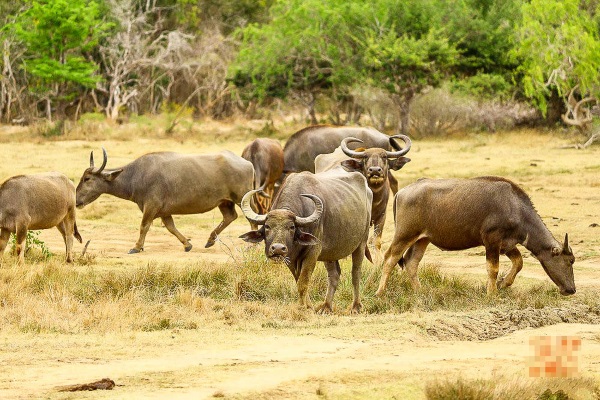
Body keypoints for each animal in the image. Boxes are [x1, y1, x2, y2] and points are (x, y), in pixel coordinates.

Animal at [75, 148, 253, 255]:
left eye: (87, 178)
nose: (76, 200)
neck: (135, 176)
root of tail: (247, 163)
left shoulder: (151, 206)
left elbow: (144, 226)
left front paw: (136, 247)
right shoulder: (164, 212)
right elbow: (171, 227)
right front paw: (187, 244)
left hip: (242, 198)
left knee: (252, 218)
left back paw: (252, 244)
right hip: (225, 202)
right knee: (230, 217)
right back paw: (210, 240)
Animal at [240, 167, 372, 314]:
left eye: (291, 227)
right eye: (267, 226)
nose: (278, 249)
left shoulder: (312, 253)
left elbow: (303, 281)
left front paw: (303, 307)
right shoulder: (291, 258)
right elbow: (299, 280)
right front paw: (308, 306)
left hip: (361, 243)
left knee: (356, 273)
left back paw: (356, 306)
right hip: (330, 254)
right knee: (334, 274)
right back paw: (326, 307)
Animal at [376, 177, 576, 296]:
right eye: (569, 261)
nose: (571, 289)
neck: (515, 207)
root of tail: (401, 192)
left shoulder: (507, 245)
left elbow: (518, 262)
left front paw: (503, 283)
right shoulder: (492, 241)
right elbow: (492, 268)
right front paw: (492, 293)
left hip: (422, 239)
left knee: (411, 262)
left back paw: (420, 291)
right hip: (404, 235)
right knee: (390, 258)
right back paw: (380, 292)